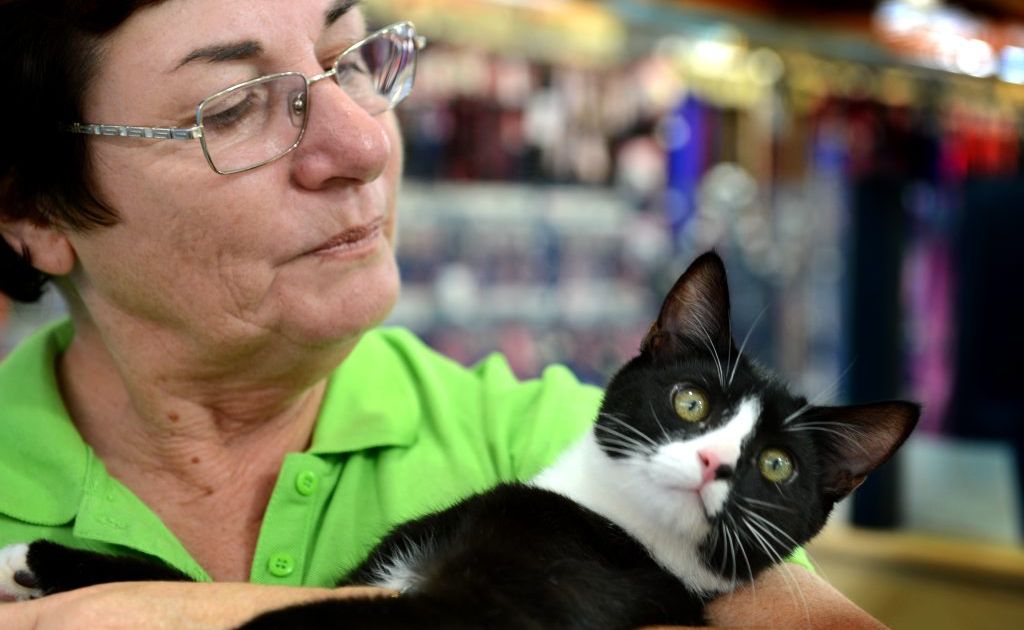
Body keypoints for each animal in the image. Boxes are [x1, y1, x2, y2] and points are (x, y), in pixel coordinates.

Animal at [0, 253, 917, 630]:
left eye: (775, 466)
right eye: (691, 401)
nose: (714, 460)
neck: (607, 516)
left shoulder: (514, 605)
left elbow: (287, 616)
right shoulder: (369, 573)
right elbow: (186, 580)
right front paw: (33, 561)